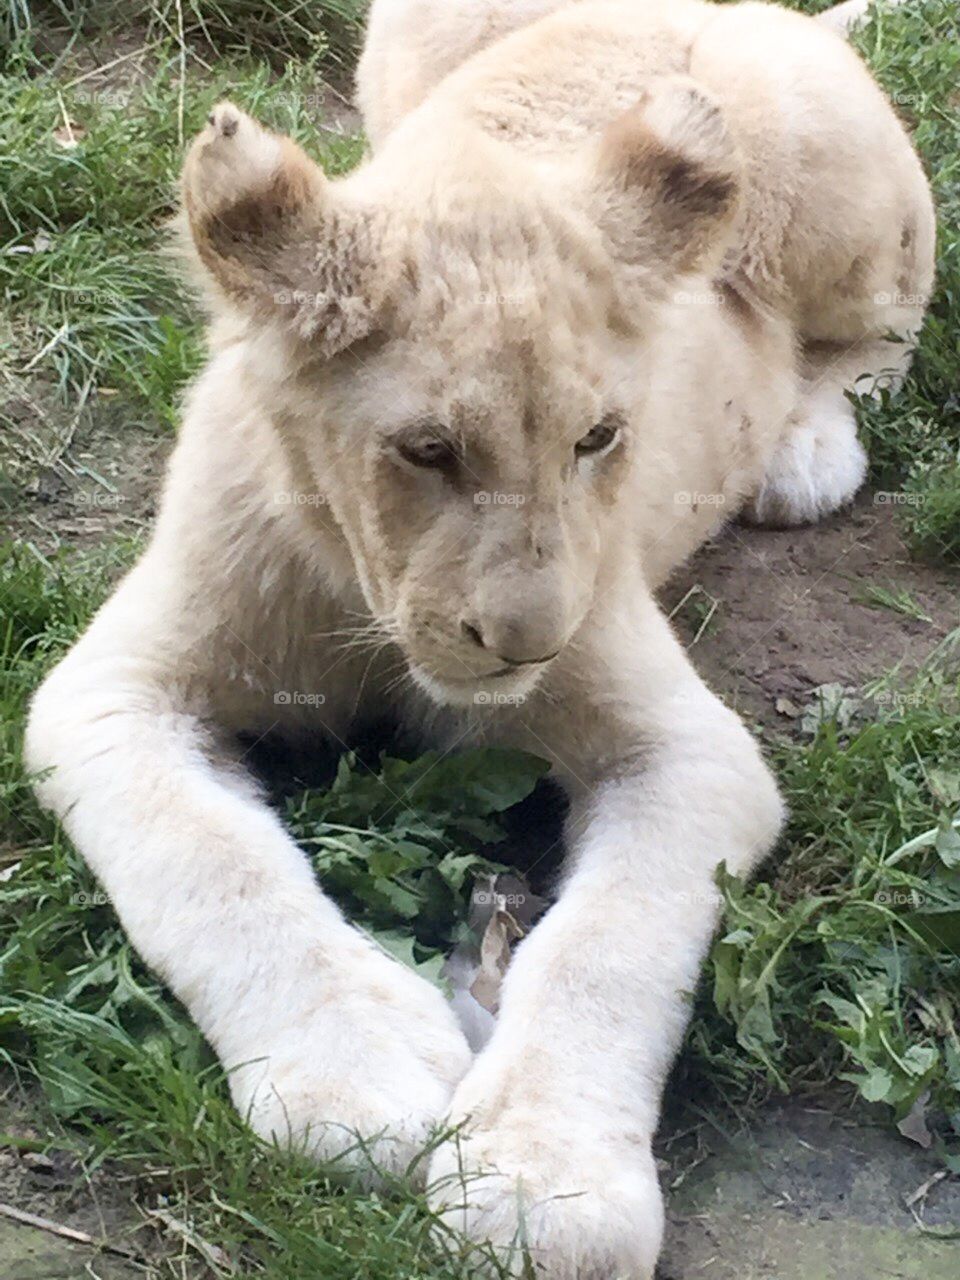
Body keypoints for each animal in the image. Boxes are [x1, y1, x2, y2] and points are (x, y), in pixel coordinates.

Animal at [26, 0, 933, 1275]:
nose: (524, 644)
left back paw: (803, 451)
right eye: (426, 450)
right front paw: (358, 1074)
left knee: (886, 331)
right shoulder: (115, 687)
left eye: (599, 437)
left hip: (850, 202)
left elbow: (609, 941)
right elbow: (208, 861)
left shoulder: (687, 748)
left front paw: (545, 1184)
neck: (371, 601)